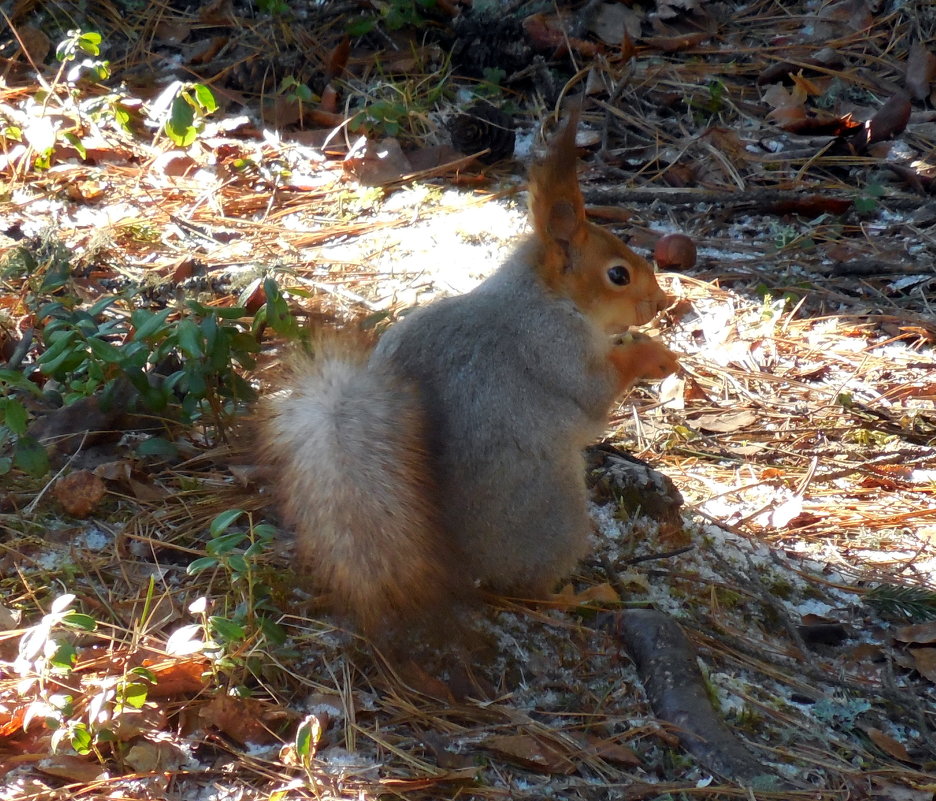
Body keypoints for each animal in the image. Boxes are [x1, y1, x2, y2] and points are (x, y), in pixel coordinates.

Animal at [260, 112, 676, 640]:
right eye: (618, 275)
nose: (660, 303)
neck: (547, 297)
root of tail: (449, 560)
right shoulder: (552, 345)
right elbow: (594, 392)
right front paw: (654, 356)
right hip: (553, 515)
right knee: (531, 588)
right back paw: (582, 595)